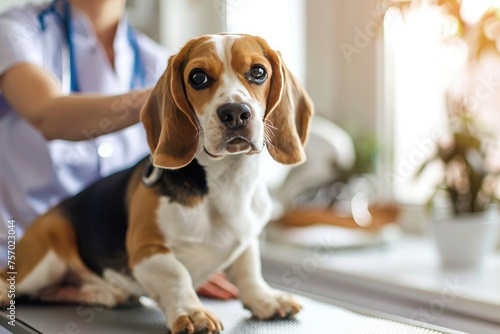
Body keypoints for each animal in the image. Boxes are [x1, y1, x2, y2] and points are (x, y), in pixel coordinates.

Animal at [0, 34, 312, 334]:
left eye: (258, 72)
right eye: (198, 77)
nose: (235, 112)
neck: (228, 181)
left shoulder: (246, 239)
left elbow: (249, 268)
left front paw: (265, 299)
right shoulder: (146, 249)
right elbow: (177, 274)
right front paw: (192, 312)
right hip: (45, 259)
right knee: (10, 283)